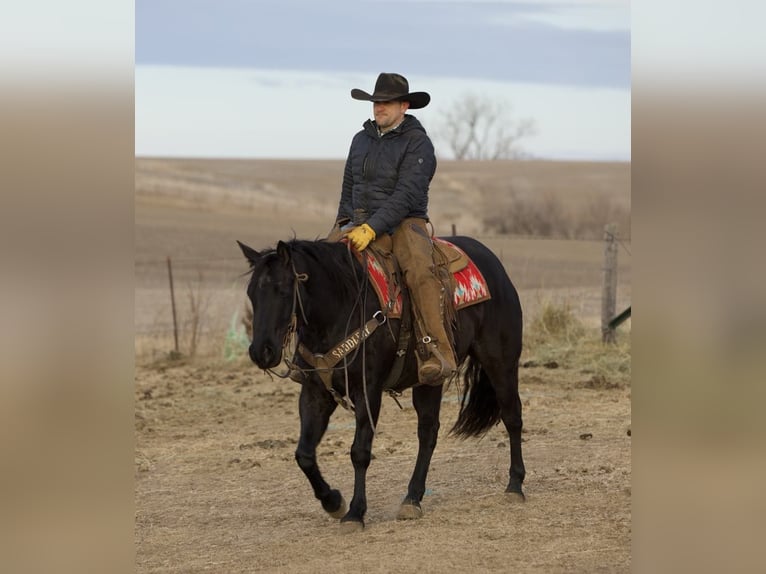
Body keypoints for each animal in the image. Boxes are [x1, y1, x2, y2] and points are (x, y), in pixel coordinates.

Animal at [240, 236, 528, 532]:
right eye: (251, 293)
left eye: (283, 290)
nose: (261, 352)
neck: (340, 307)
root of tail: (492, 262)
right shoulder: (315, 393)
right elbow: (305, 454)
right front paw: (333, 502)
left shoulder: (367, 391)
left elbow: (360, 451)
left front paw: (355, 513)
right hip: (429, 381)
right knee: (428, 432)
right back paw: (412, 499)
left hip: (500, 362)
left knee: (512, 417)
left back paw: (515, 486)